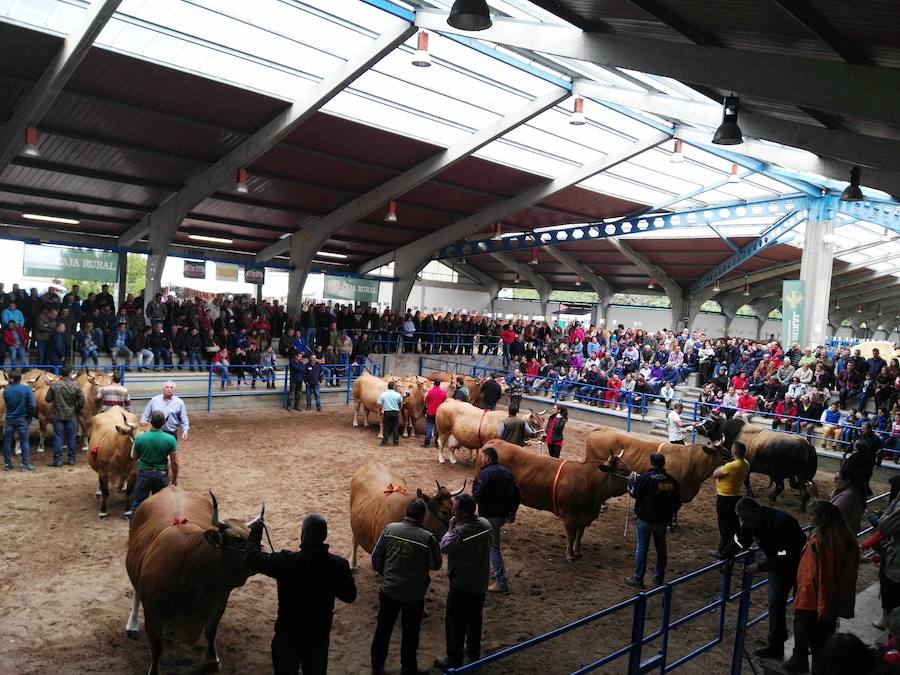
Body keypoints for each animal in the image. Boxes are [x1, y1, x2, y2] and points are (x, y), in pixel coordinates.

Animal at [474, 440, 628, 564]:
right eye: (621, 469)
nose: (632, 479)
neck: (588, 480)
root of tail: (494, 442)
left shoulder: (583, 517)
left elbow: (580, 535)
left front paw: (577, 552)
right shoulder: (569, 516)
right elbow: (572, 536)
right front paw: (569, 555)